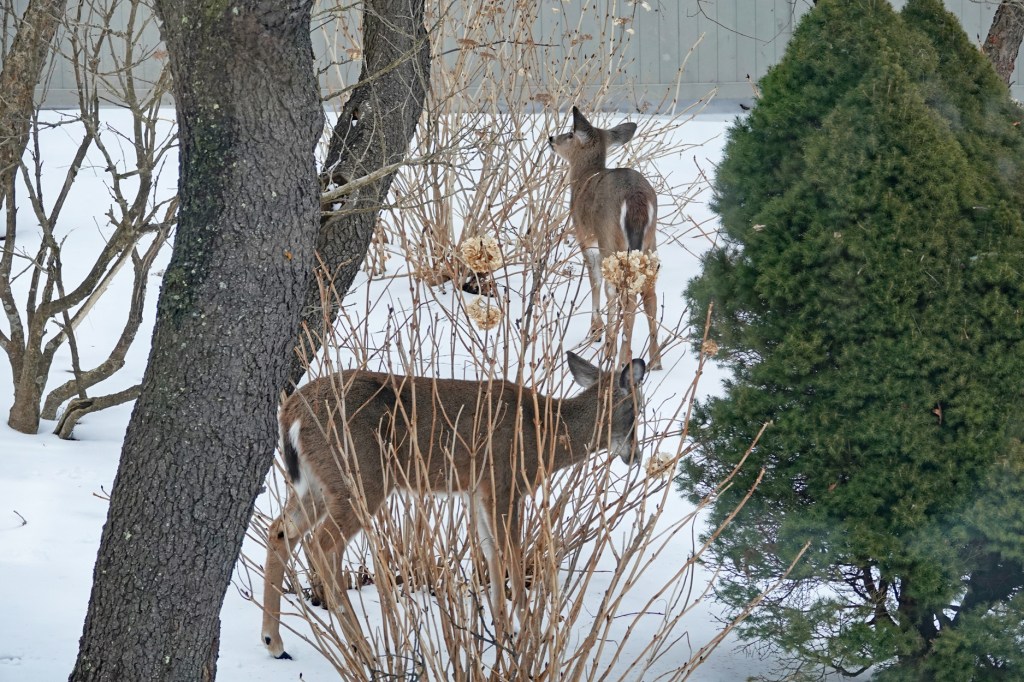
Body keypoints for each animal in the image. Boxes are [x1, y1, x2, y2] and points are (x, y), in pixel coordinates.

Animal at [261, 351, 647, 660]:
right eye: (635, 409)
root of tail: (291, 412)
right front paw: (528, 635)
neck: (543, 436)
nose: (636, 455)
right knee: (322, 544)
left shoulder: (477, 491)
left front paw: (505, 632)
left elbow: (491, 553)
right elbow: (511, 553)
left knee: (281, 531)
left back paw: (274, 643)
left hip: (316, 483)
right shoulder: (506, 483)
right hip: (362, 477)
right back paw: (363, 648)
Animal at [549, 106, 663, 371]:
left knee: (623, 294)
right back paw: (655, 361)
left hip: (611, 240)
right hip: (650, 244)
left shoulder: (585, 237)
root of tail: (636, 198)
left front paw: (596, 331)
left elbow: (595, 281)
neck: (584, 178)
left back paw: (619, 357)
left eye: (570, 134)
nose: (551, 138)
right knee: (649, 294)